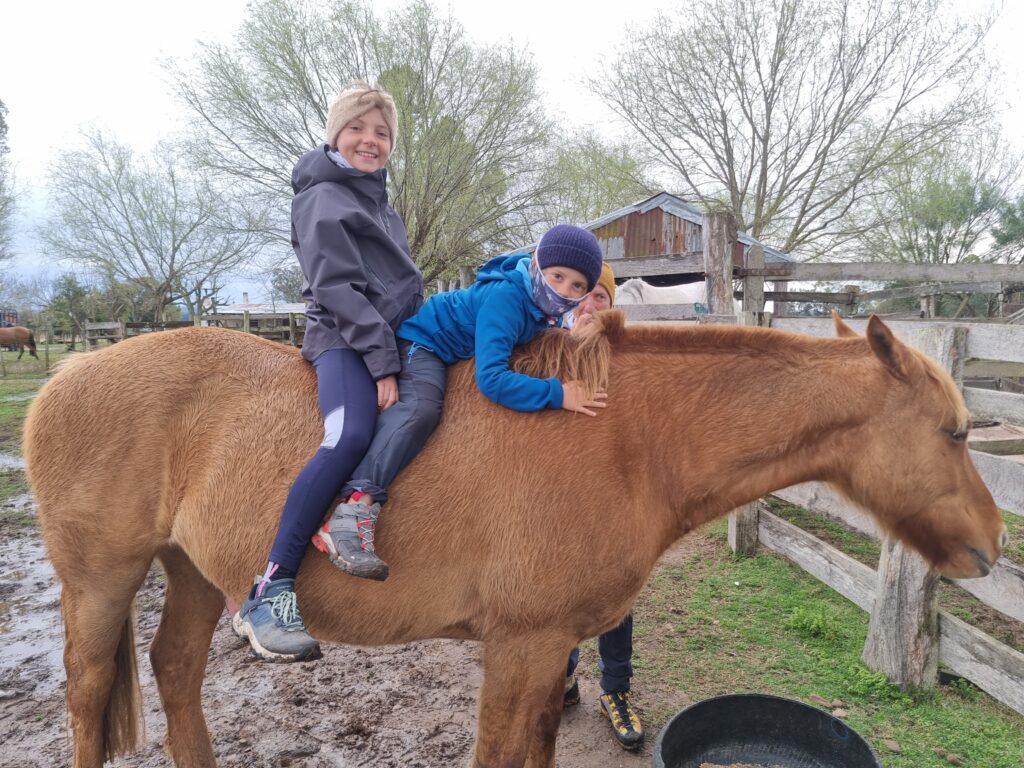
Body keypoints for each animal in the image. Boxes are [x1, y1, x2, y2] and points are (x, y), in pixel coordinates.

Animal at [23, 311, 1005, 768]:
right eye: (956, 433)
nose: (993, 545)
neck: (622, 439)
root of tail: (71, 371)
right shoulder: (521, 647)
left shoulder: (547, 651)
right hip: (101, 581)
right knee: (88, 695)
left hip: (191, 573)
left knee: (175, 671)